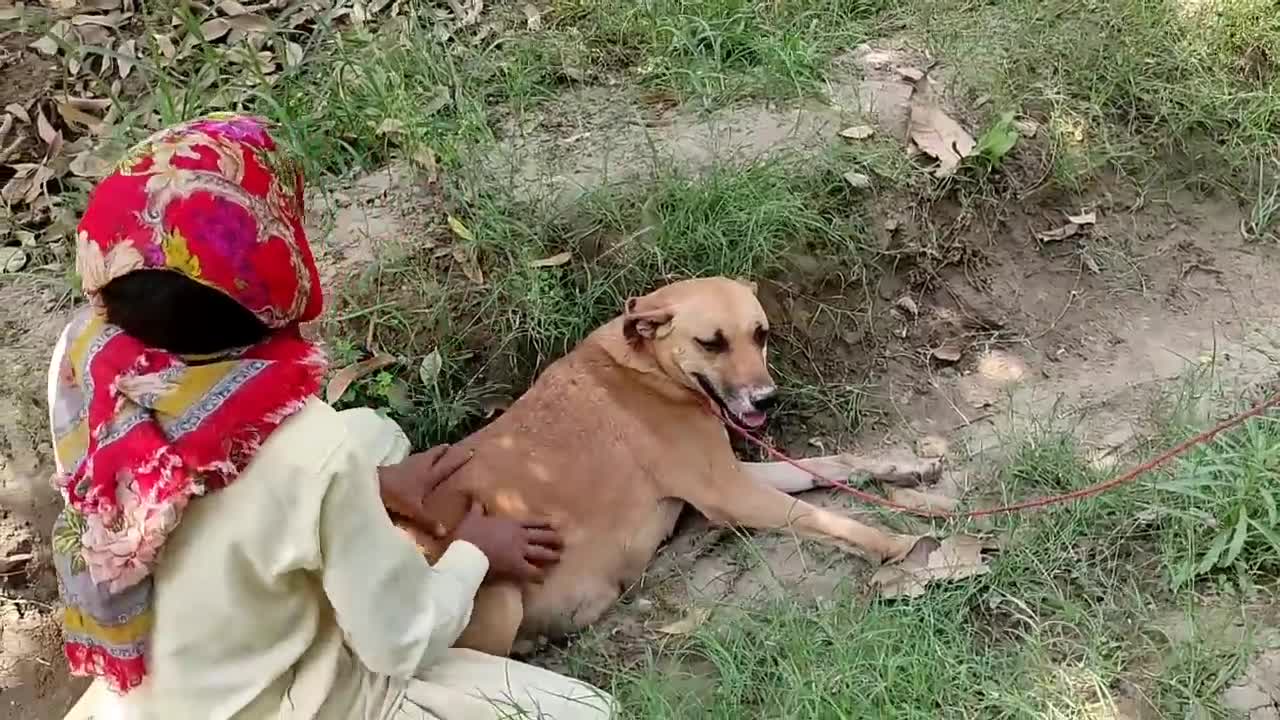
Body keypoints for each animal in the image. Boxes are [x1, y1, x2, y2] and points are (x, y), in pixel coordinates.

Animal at [409, 278, 942, 653]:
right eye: (712, 342)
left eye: (761, 334)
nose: (766, 400)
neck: (648, 369)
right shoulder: (729, 494)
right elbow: (824, 516)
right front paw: (895, 544)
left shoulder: (731, 476)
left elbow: (830, 464)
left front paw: (906, 467)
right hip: (494, 594)